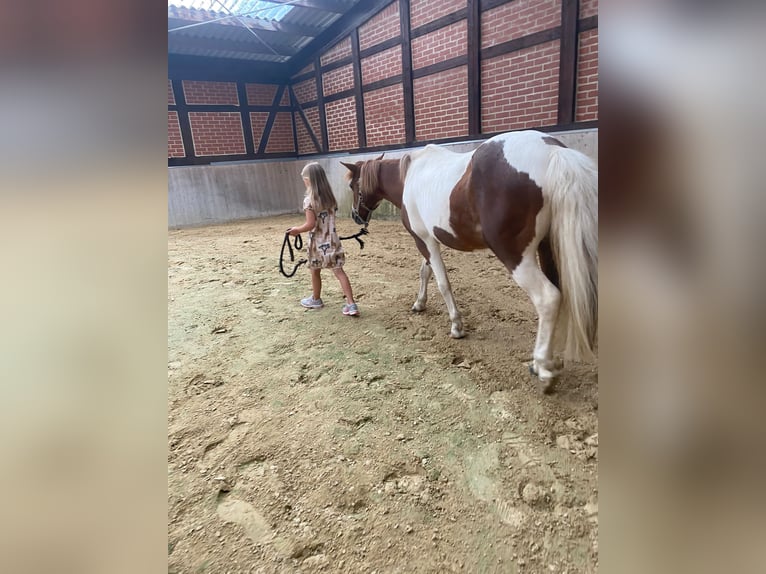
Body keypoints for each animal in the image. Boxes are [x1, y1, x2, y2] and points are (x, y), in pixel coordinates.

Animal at [342, 132, 600, 388]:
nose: (356, 216)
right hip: (547, 249)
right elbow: (425, 272)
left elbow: (442, 282)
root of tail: (552, 150)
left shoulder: (423, 240)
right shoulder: (428, 240)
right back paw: (548, 360)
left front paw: (456, 326)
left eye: (352, 185)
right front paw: (419, 303)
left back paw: (542, 367)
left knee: (548, 298)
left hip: (516, 256)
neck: (409, 176)